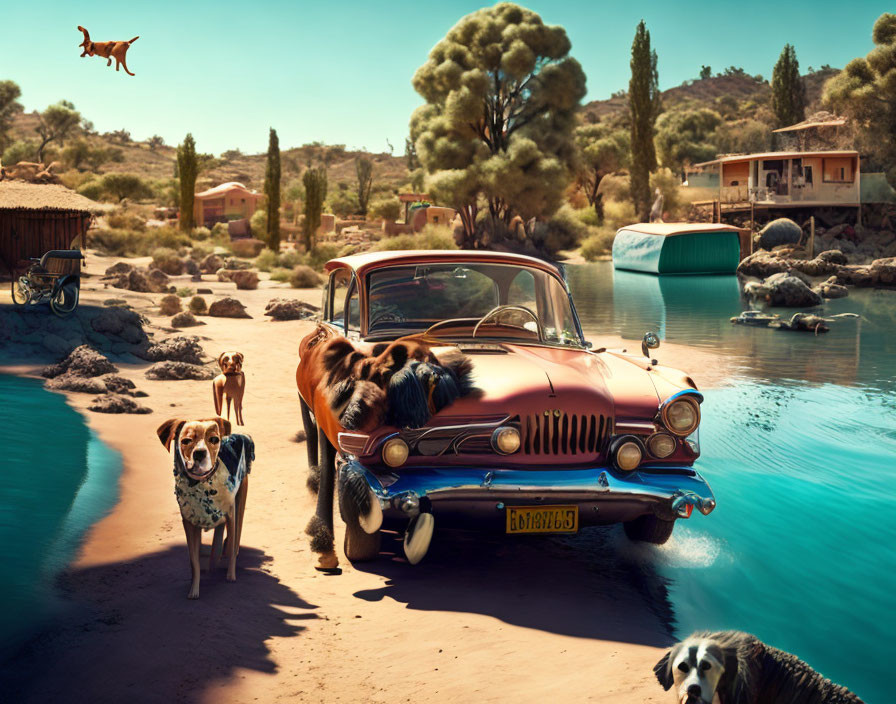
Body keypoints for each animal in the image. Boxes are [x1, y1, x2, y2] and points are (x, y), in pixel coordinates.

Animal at [156, 418, 254, 600]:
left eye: (214, 439)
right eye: (186, 441)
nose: (199, 453)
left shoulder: (231, 516)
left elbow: (232, 546)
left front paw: (230, 575)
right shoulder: (189, 524)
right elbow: (194, 561)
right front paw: (194, 589)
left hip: (240, 503)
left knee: (235, 538)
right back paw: (213, 561)